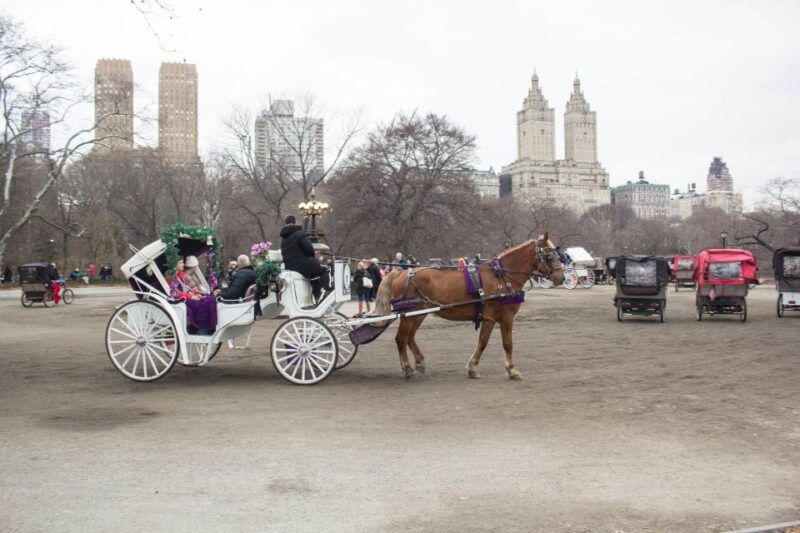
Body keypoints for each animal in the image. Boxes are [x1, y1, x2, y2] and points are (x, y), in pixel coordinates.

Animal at [374, 234, 565, 379]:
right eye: (549, 256)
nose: (561, 277)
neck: (502, 277)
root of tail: (401, 272)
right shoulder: (506, 318)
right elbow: (507, 344)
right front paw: (512, 370)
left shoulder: (489, 319)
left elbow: (482, 343)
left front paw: (473, 367)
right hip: (410, 315)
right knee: (401, 339)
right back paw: (407, 368)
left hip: (419, 314)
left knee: (409, 338)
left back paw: (420, 362)